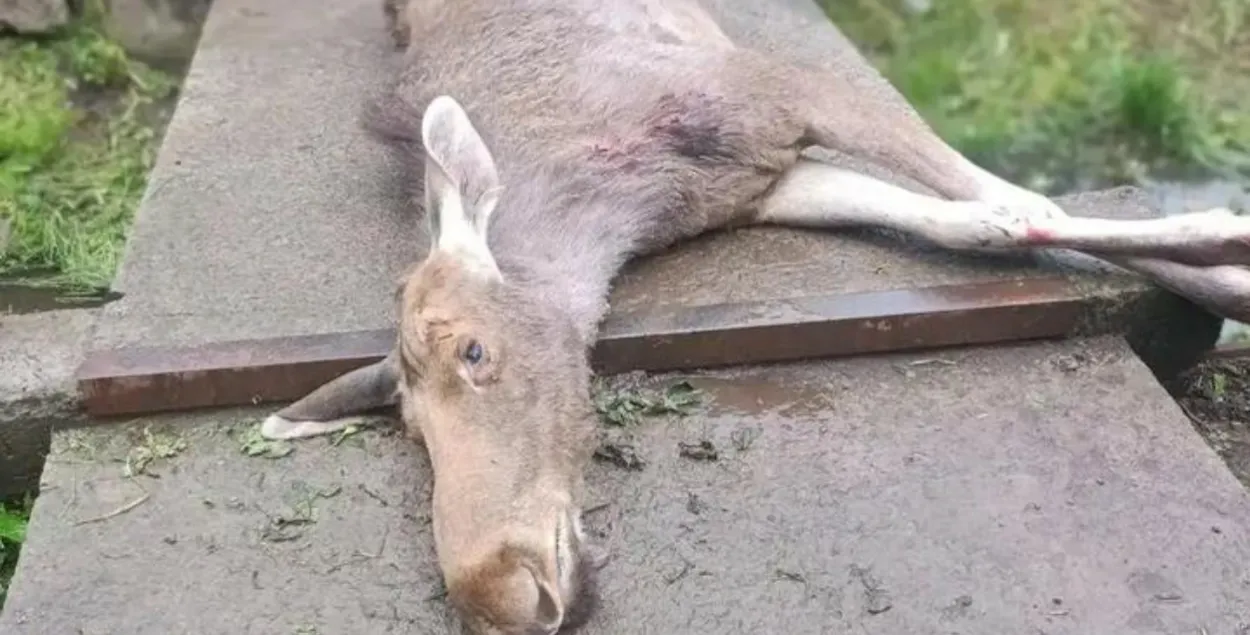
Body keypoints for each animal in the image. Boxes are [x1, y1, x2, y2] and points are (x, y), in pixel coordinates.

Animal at [259, 1, 1250, 633]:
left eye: (474, 349)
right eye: (408, 424)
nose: (498, 588)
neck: (617, 204)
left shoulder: (779, 91)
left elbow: (1007, 201)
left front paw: (1227, 249)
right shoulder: (767, 184)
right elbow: (978, 221)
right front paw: (1222, 258)